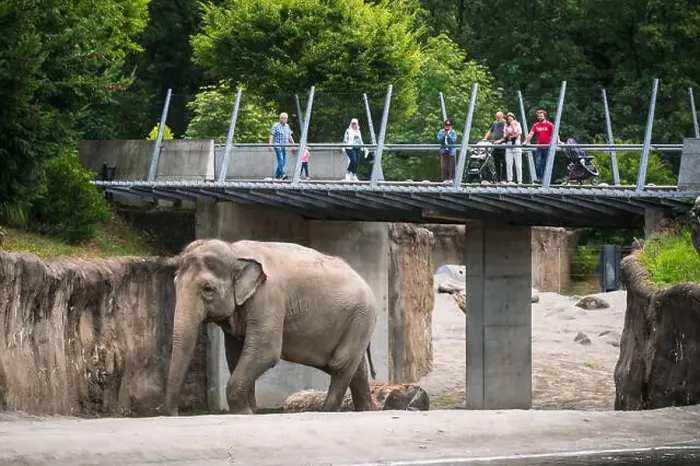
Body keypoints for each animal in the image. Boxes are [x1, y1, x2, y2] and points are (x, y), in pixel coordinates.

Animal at [164, 238, 379, 415]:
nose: (173, 413)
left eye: (207, 289)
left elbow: (264, 351)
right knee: (355, 367)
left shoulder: (268, 297)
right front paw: (250, 412)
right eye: (175, 283)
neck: (235, 252)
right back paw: (366, 410)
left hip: (361, 318)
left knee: (340, 364)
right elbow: (236, 356)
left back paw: (327, 412)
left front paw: (243, 413)